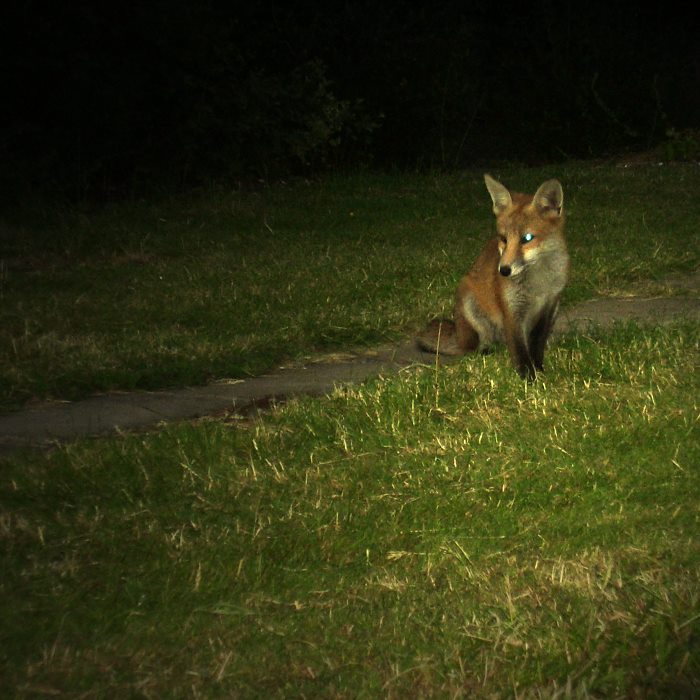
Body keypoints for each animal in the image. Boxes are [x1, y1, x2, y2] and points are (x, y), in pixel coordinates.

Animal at [416, 175, 568, 382]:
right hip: (469, 302)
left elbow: (536, 345)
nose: (503, 270)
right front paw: (528, 379)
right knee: (474, 347)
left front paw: (539, 370)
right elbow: (520, 350)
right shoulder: (511, 310)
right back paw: (484, 350)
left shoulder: (550, 306)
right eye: (503, 239)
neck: (538, 284)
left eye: (527, 238)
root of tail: (459, 335)